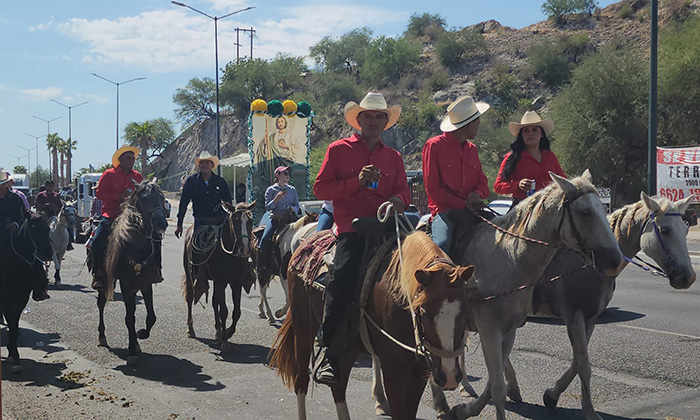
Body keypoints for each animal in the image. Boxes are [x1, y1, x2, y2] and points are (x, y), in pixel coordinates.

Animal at [0, 215, 53, 372]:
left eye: (48, 228)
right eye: (33, 228)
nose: (48, 253)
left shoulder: (21, 298)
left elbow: (14, 325)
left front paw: (13, 354)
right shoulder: (6, 299)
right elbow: (11, 323)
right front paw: (14, 354)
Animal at [100, 180, 170, 364]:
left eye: (161, 197)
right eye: (144, 198)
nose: (161, 223)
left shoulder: (146, 281)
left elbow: (151, 316)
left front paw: (141, 334)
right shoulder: (126, 283)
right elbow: (129, 317)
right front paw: (131, 351)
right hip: (103, 280)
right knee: (101, 304)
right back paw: (102, 336)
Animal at [182, 200, 256, 352]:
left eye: (250, 220)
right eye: (235, 220)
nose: (245, 249)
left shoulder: (236, 282)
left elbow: (236, 312)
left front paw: (227, 332)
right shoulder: (222, 281)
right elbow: (224, 311)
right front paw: (225, 341)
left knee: (215, 301)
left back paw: (218, 330)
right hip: (190, 274)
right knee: (191, 298)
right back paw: (191, 329)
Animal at [270, 226, 478, 420]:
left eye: (464, 311)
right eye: (424, 313)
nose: (449, 376)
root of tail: (304, 243)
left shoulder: (419, 371)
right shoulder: (393, 369)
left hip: (348, 346)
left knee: (338, 385)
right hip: (304, 329)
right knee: (301, 382)